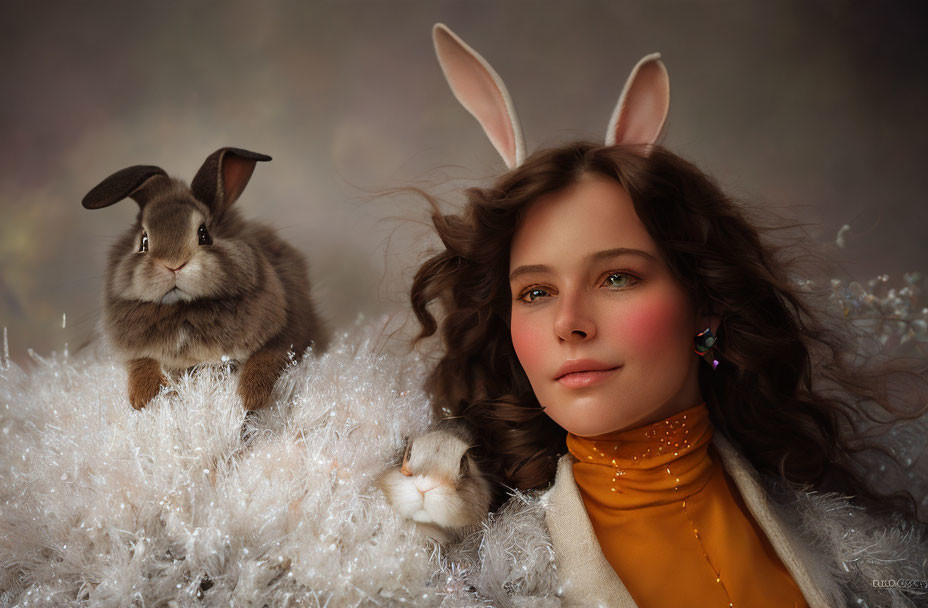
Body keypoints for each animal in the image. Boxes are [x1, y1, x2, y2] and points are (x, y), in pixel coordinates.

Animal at [82, 148, 330, 410]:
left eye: (204, 234)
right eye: (144, 241)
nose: (173, 264)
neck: (183, 308)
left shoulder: (287, 335)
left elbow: (266, 359)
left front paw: (250, 398)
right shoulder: (137, 352)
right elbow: (142, 363)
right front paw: (147, 397)